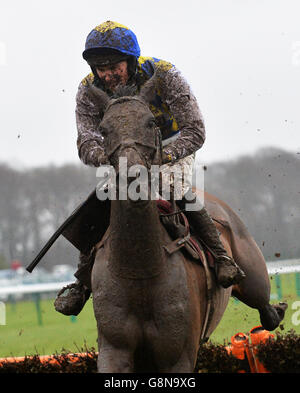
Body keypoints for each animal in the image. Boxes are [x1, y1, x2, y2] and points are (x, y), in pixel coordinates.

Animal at [88, 75, 286, 372]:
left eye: (151, 122)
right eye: (103, 128)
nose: (131, 173)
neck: (141, 270)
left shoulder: (177, 356)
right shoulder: (115, 349)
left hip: (254, 282)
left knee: (268, 314)